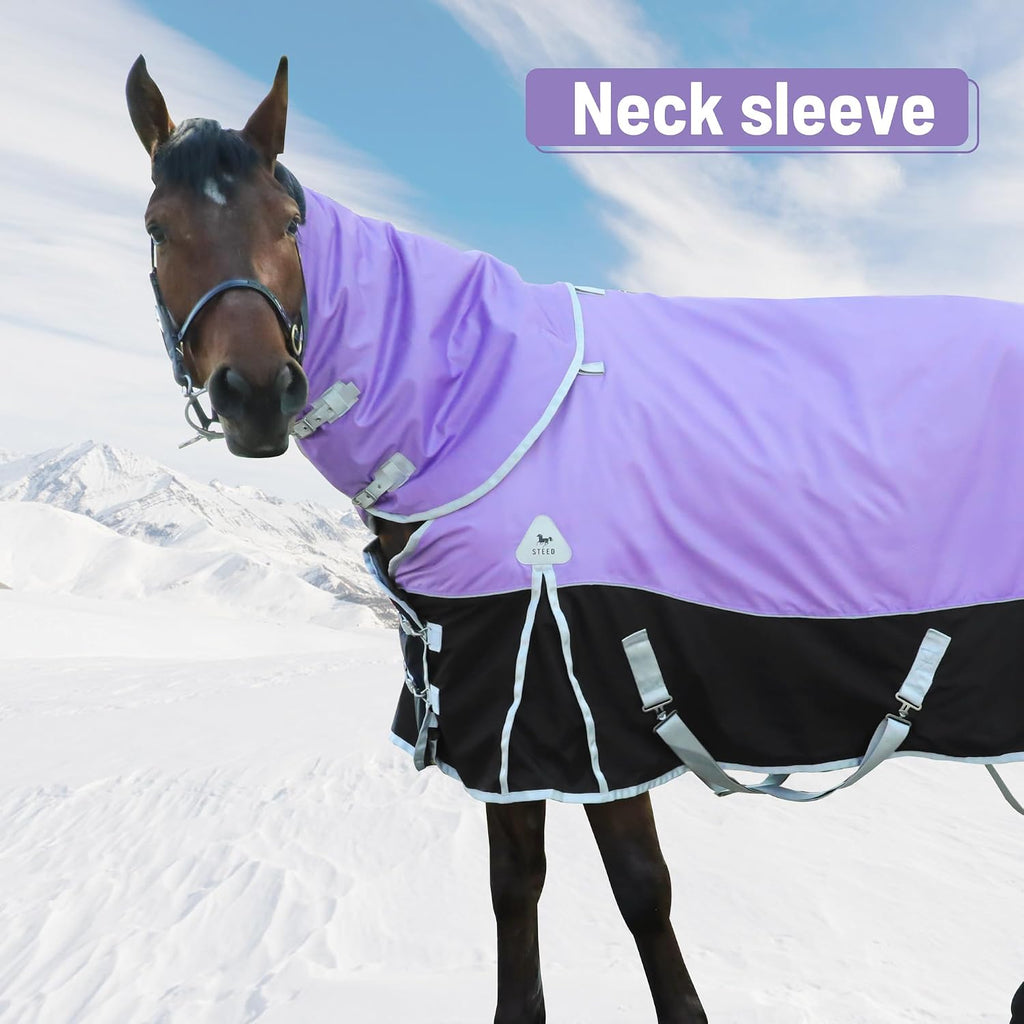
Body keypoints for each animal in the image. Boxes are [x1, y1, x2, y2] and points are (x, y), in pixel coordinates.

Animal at [126, 56, 1024, 1023]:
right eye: (159, 229)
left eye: (289, 226)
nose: (258, 393)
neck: (472, 404)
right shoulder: (494, 715)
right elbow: (514, 884)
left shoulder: (575, 699)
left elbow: (639, 889)